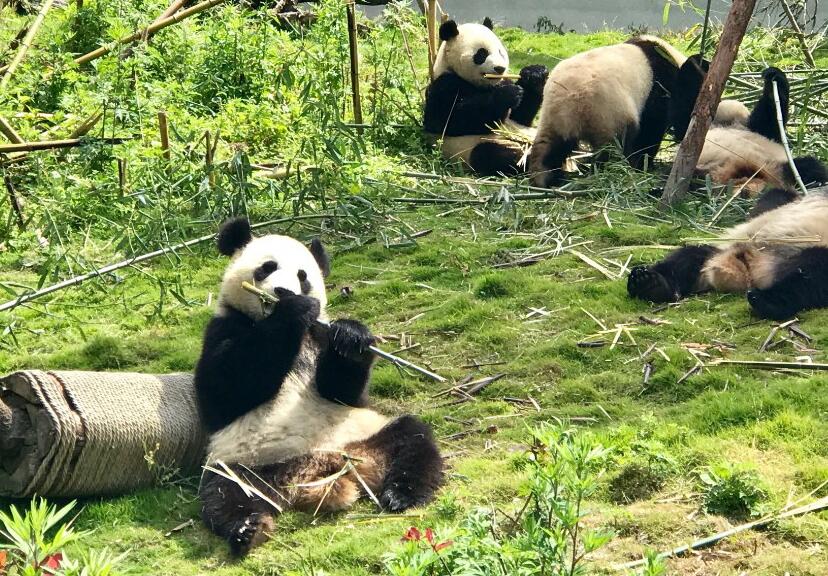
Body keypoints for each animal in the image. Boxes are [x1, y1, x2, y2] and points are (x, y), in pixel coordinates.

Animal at [195, 218, 443, 555]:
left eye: (303, 276)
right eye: (267, 267)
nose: (283, 291)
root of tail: (319, 467)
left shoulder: (320, 336)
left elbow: (342, 392)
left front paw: (352, 337)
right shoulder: (222, 328)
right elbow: (223, 389)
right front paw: (292, 310)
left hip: (367, 436)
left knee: (413, 439)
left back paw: (401, 494)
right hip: (243, 463)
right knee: (226, 493)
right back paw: (249, 529)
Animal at [423, 18, 549, 176]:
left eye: (500, 52)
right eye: (481, 54)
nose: (500, 68)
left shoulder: (503, 81)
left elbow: (520, 115)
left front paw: (535, 74)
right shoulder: (444, 84)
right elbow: (447, 120)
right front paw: (507, 94)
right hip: (472, 148)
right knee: (494, 154)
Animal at [529, 35, 689, 187]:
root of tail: (571, 102)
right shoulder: (660, 87)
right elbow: (651, 129)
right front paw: (643, 164)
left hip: (552, 117)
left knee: (548, 147)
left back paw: (544, 178)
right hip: (608, 113)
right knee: (613, 149)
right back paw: (614, 174)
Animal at [627, 187, 828, 320]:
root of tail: (748, 271)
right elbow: (775, 197)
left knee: (811, 274)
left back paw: (768, 300)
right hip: (719, 251)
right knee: (688, 257)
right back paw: (650, 283)